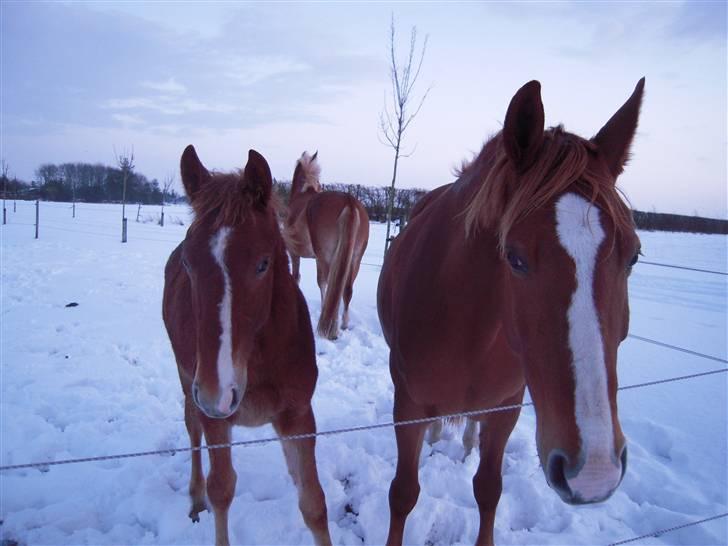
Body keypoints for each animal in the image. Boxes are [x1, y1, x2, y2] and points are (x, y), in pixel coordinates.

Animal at [164, 144, 332, 544]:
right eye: (189, 264)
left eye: (262, 264)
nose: (218, 392)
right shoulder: (215, 419)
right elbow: (222, 490)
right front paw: (206, 498)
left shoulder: (298, 416)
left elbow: (314, 503)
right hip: (187, 383)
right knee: (192, 430)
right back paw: (195, 500)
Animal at [282, 151, 366, 338]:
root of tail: (349, 201)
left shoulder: (295, 254)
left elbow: (298, 278)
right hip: (354, 259)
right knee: (346, 289)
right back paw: (343, 324)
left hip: (325, 257)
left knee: (327, 284)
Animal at [378, 77, 644, 544]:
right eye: (515, 258)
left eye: (633, 255)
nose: (593, 472)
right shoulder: (406, 405)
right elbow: (403, 493)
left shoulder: (506, 408)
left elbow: (489, 490)